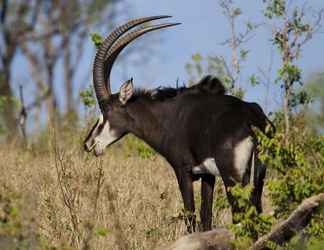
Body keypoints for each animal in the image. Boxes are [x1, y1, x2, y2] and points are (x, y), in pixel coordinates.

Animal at [84, 16, 276, 232]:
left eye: (106, 111)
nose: (88, 143)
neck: (168, 116)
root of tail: (251, 118)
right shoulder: (208, 175)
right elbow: (206, 217)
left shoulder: (183, 171)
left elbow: (190, 217)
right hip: (256, 178)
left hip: (233, 178)